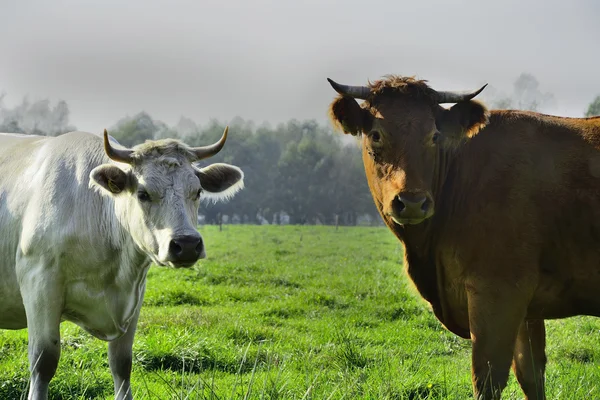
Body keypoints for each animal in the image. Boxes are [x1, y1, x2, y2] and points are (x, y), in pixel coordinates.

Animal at [0, 127, 245, 396]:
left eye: (198, 191)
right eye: (143, 193)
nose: (187, 244)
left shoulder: (134, 295)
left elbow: (122, 363)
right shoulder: (40, 285)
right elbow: (43, 361)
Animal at [328, 76, 600, 400]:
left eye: (434, 136)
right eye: (375, 135)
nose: (412, 202)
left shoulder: (499, 291)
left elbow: (488, 379)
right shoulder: (527, 308)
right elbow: (531, 374)